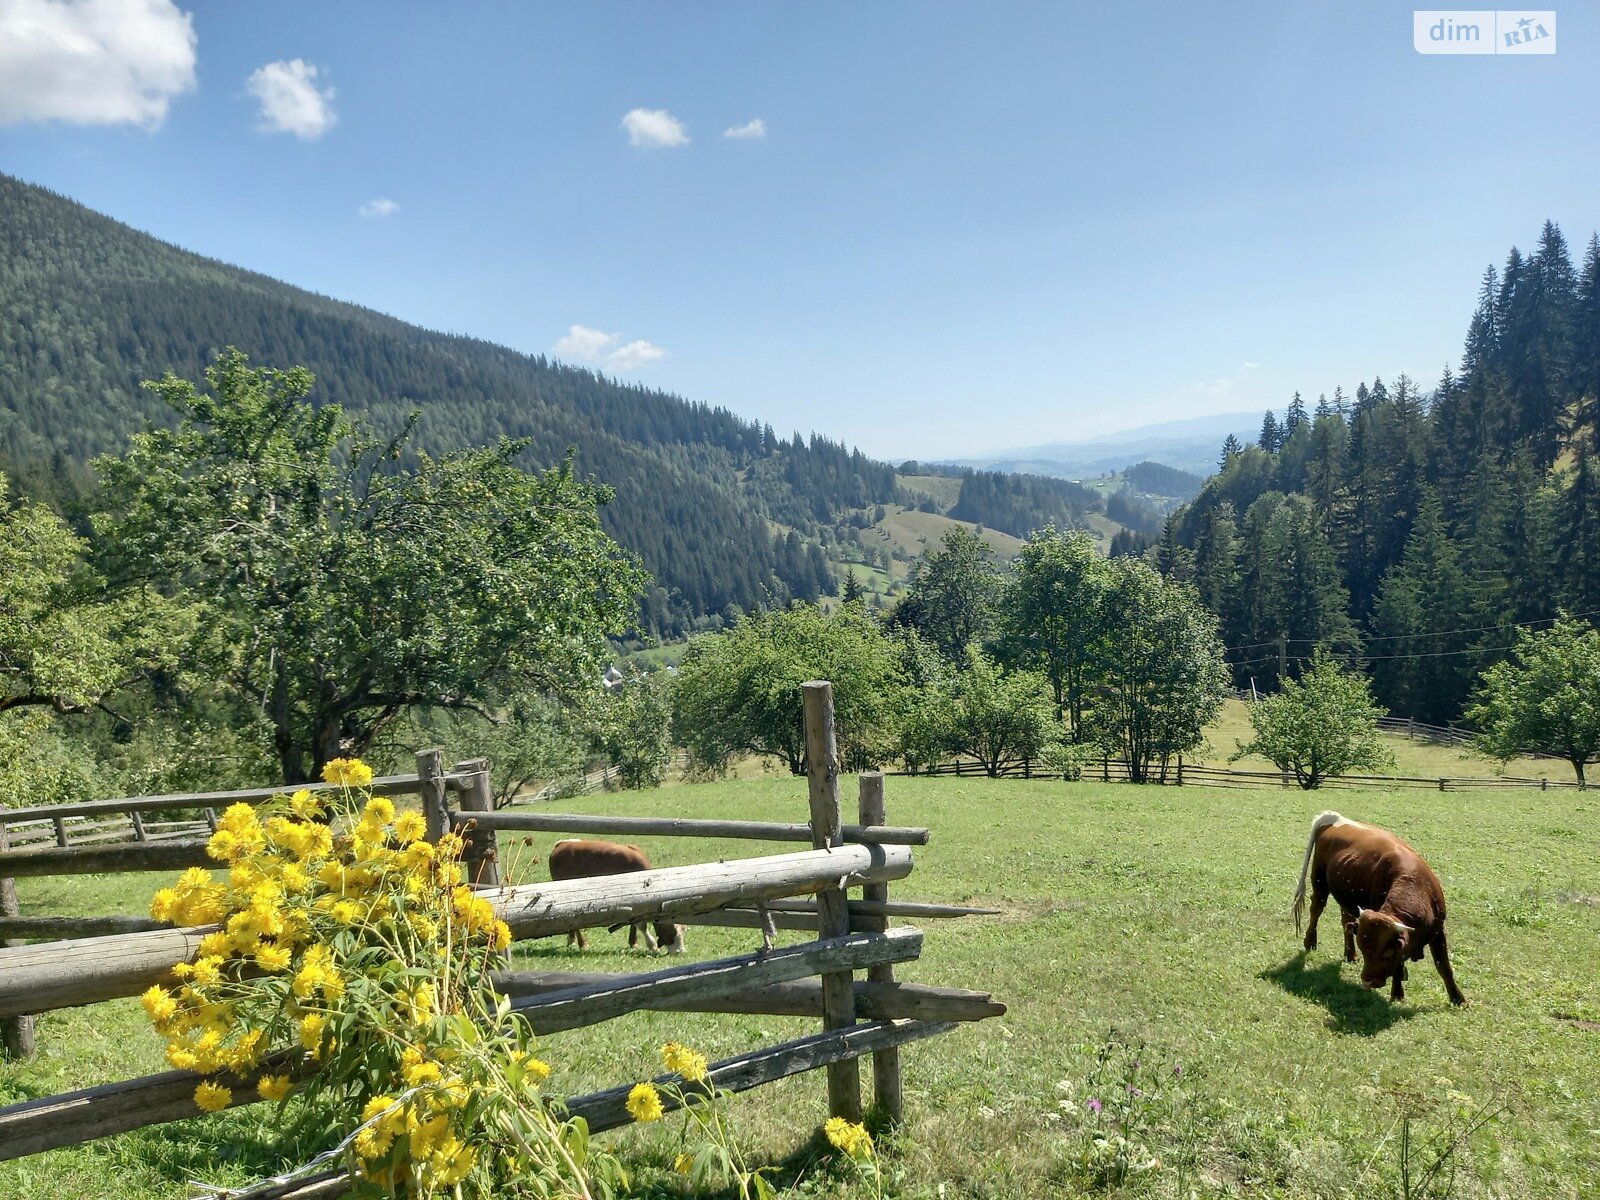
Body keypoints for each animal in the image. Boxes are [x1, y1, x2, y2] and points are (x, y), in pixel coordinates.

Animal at [547, 838, 684, 960]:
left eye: (683, 929)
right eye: (670, 931)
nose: (680, 951)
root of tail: (563, 844)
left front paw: (634, 942)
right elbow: (642, 925)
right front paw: (652, 945)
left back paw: (571, 938)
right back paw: (583, 944)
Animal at [1292, 812, 1465, 1011]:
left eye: (1387, 954)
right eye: (1365, 949)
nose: (1367, 982)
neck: (1417, 885)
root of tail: (1334, 818)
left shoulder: (1438, 931)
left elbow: (1443, 966)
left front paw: (1458, 998)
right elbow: (1400, 968)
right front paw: (1397, 994)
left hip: (1346, 897)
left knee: (1346, 921)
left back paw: (1350, 954)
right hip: (1319, 882)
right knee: (1316, 910)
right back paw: (1310, 941)